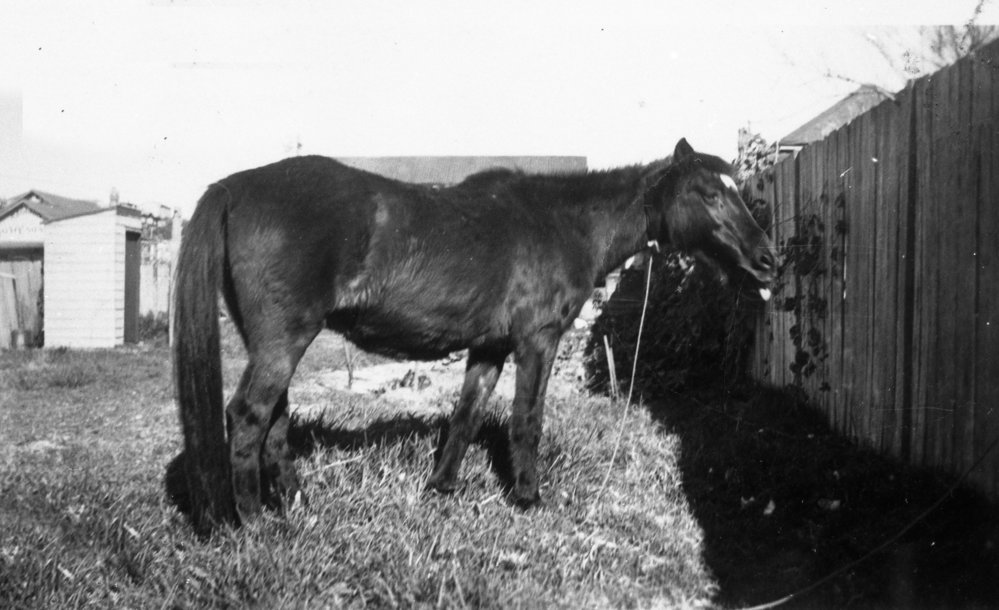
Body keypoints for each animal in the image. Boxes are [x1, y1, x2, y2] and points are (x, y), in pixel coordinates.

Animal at [171, 138, 777, 534]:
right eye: (707, 193)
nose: (768, 260)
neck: (564, 223)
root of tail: (233, 187)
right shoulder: (537, 341)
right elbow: (526, 419)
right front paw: (529, 497)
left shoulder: (489, 347)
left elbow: (465, 415)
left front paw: (441, 488)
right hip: (284, 340)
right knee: (249, 417)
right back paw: (253, 524)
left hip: (275, 343)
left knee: (273, 422)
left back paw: (299, 507)